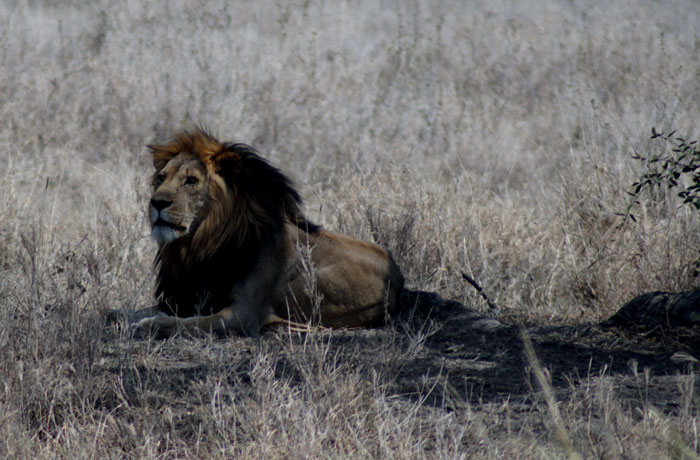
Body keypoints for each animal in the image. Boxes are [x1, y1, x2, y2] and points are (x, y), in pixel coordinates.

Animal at [119, 129, 404, 338]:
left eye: (191, 181)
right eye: (161, 178)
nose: (156, 203)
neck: (198, 245)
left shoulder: (243, 314)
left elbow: (186, 322)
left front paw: (149, 325)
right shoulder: (180, 298)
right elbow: (127, 311)